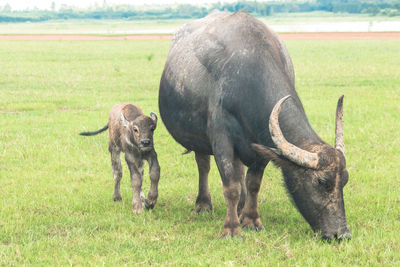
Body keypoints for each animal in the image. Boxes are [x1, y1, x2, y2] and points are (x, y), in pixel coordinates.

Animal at [158, 11, 352, 241]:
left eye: (345, 180)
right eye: (321, 182)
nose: (342, 234)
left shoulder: (261, 143)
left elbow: (253, 183)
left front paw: (251, 220)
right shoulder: (221, 140)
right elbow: (230, 186)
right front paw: (231, 229)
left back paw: (241, 208)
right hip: (198, 139)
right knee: (203, 164)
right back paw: (203, 204)